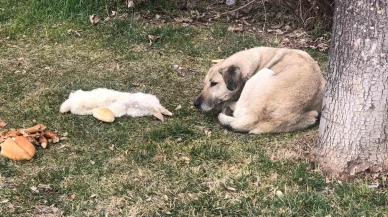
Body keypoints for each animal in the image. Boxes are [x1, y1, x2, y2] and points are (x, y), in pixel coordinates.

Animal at [193, 46, 324, 133]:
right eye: (205, 83)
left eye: (214, 83)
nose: (195, 104)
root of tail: (255, 119)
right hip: (311, 116)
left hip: (265, 72)